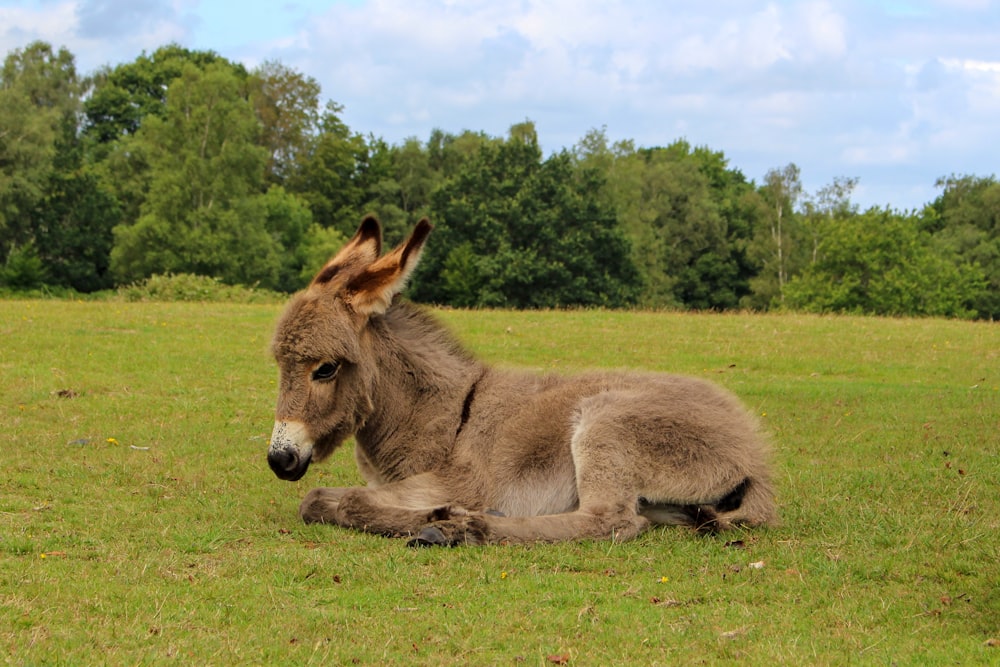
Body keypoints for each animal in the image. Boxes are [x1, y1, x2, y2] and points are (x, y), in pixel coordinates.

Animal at [270, 217, 776, 544]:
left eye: (325, 368)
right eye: (279, 364)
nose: (280, 460)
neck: (442, 413)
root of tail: (753, 451)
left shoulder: (459, 481)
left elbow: (339, 500)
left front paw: (439, 515)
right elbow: (318, 500)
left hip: (607, 425)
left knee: (610, 521)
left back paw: (468, 528)